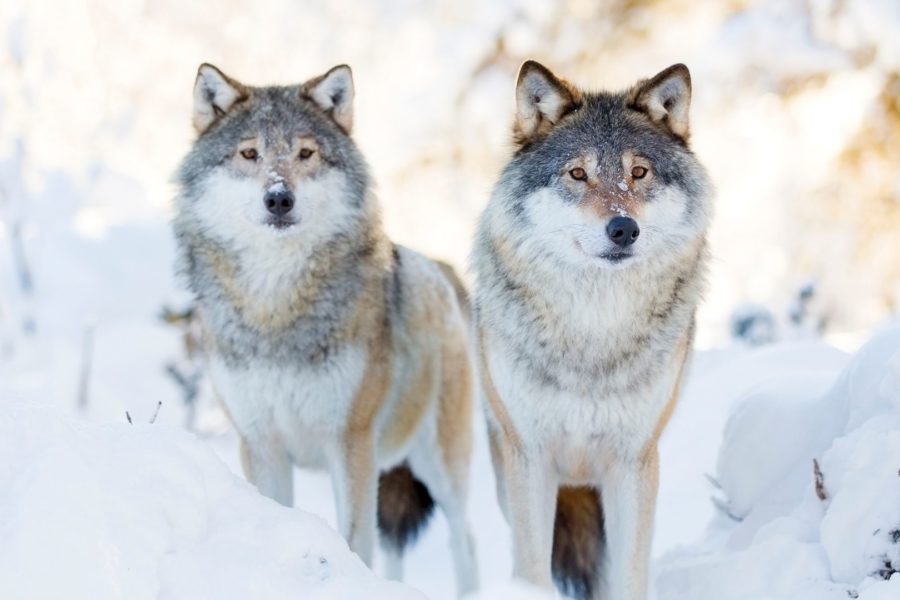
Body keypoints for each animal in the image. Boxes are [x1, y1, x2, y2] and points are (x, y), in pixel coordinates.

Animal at [173, 63, 478, 595]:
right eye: (249, 153)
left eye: (305, 153)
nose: (279, 197)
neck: (275, 310)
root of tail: (440, 271)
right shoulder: (261, 444)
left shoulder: (349, 442)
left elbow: (354, 541)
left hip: (440, 467)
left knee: (467, 541)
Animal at [471, 61, 713, 600]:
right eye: (577, 173)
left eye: (638, 172)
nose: (623, 229)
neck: (593, 333)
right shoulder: (530, 459)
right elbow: (533, 568)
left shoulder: (634, 463)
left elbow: (629, 575)